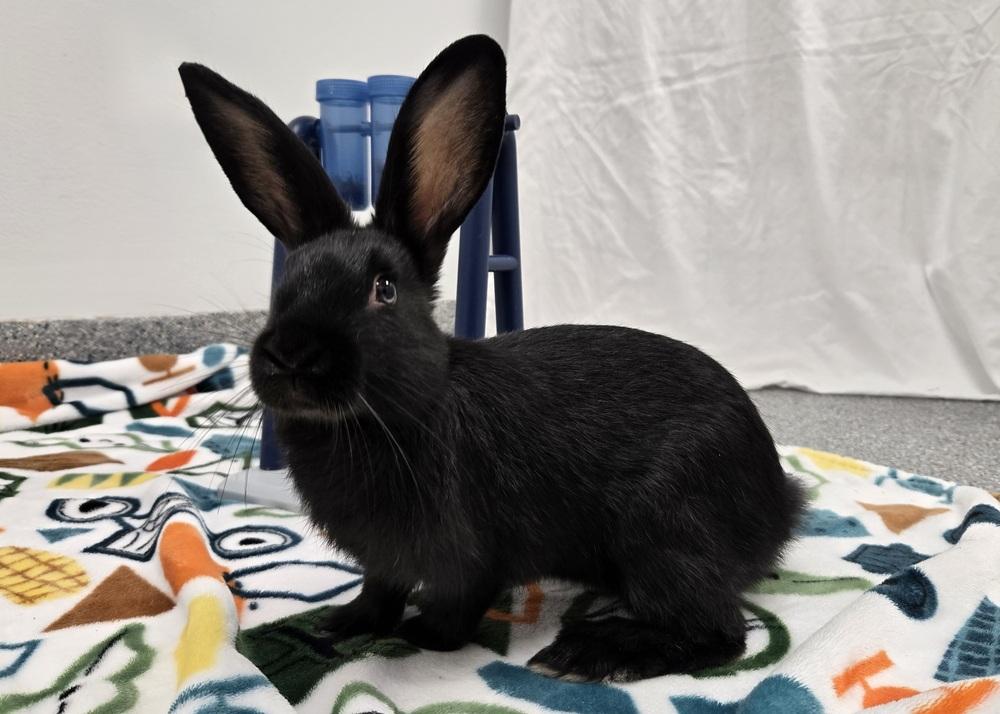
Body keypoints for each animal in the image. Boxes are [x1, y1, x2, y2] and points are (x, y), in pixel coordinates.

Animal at [179, 34, 805, 683]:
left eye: (384, 289)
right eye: (284, 288)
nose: (291, 354)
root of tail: (778, 500)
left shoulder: (470, 555)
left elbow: (458, 604)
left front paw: (423, 636)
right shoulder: (385, 559)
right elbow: (379, 590)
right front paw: (344, 623)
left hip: (666, 529)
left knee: (719, 634)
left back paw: (587, 651)